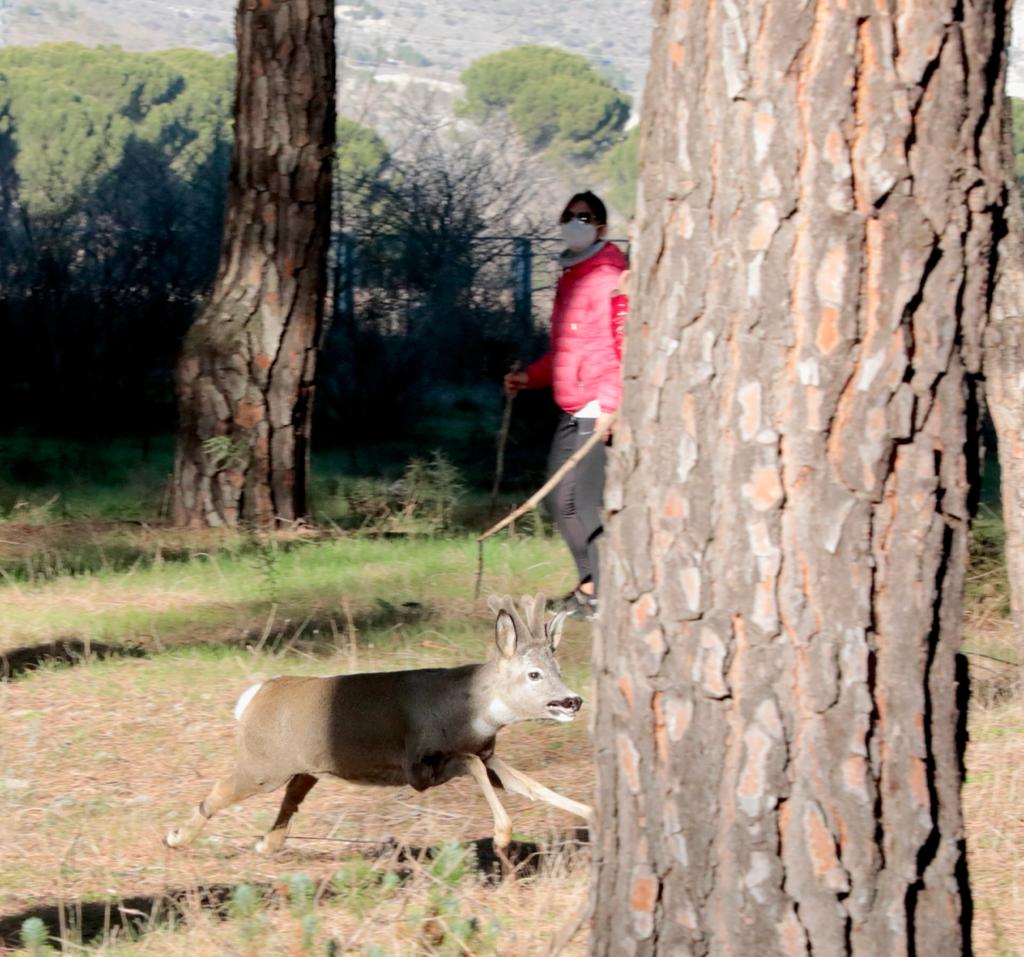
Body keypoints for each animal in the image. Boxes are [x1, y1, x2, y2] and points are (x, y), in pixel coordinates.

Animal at [165, 593, 593, 855]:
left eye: (557, 668)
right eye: (534, 674)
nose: (573, 700)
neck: (468, 710)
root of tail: (254, 696)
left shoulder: (486, 752)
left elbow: (529, 784)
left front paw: (590, 813)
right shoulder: (418, 764)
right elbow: (471, 765)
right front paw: (502, 836)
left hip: (307, 767)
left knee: (290, 799)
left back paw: (265, 844)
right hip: (263, 763)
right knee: (219, 791)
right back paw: (176, 838)